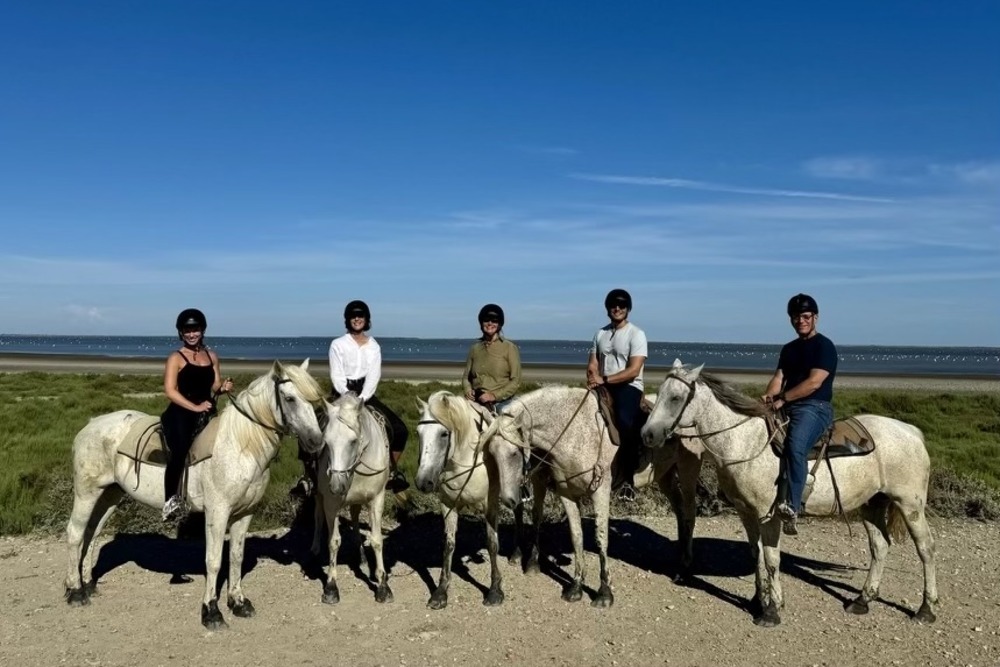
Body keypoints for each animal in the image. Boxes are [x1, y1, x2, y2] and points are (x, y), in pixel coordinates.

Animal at [67, 362, 332, 628]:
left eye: (314, 401)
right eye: (289, 398)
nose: (316, 441)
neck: (240, 445)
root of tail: (90, 425)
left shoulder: (245, 513)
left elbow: (236, 557)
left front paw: (238, 602)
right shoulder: (218, 512)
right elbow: (213, 561)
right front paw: (211, 611)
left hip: (110, 494)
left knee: (92, 533)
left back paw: (87, 584)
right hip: (87, 493)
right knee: (76, 533)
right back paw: (75, 591)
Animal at [312, 392, 390, 604]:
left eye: (354, 441)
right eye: (327, 442)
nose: (337, 485)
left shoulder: (377, 499)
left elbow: (377, 540)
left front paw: (383, 586)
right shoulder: (331, 504)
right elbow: (333, 541)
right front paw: (331, 587)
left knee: (354, 517)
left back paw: (361, 557)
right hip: (319, 494)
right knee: (318, 516)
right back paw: (314, 550)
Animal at [414, 392, 512, 612]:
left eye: (444, 434)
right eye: (418, 433)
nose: (423, 482)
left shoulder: (490, 505)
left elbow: (492, 543)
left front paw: (495, 590)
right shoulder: (448, 505)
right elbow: (449, 544)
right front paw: (441, 592)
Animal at [480, 386, 700, 612]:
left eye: (514, 453)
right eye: (491, 454)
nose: (507, 499)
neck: (573, 431)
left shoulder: (600, 493)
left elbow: (601, 538)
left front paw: (604, 593)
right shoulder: (566, 494)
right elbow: (576, 536)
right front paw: (576, 586)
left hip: (688, 470)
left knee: (689, 514)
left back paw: (684, 568)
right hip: (664, 475)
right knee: (679, 510)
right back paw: (679, 558)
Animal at [640, 360, 936, 628]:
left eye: (676, 397)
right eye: (661, 392)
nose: (648, 434)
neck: (746, 442)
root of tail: (911, 431)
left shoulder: (768, 515)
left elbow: (771, 560)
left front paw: (772, 611)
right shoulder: (746, 513)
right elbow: (756, 554)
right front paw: (758, 601)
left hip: (909, 505)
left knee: (926, 548)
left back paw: (926, 609)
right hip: (872, 504)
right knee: (880, 547)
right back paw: (862, 600)